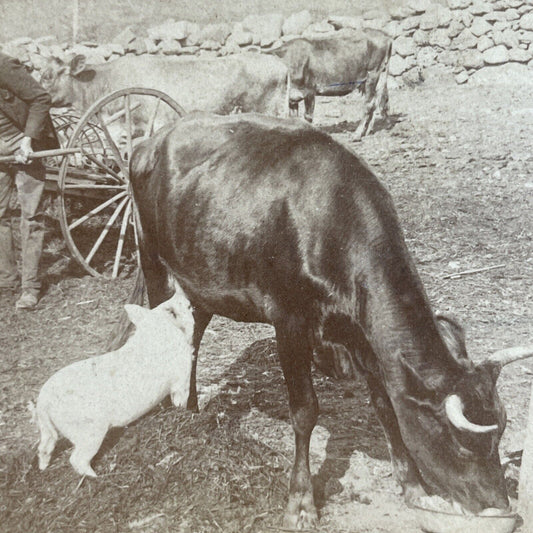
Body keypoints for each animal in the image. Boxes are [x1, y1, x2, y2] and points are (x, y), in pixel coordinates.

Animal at [32, 286, 193, 478]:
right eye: (183, 305)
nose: (181, 290)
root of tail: (43, 402)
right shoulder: (182, 375)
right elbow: (181, 397)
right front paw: (187, 412)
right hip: (90, 429)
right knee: (76, 459)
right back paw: (97, 477)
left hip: (49, 430)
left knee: (44, 447)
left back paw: (43, 468)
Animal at [118, 113, 528, 528]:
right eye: (460, 444)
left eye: (497, 439)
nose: (500, 503)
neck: (332, 220)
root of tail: (154, 138)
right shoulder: (290, 320)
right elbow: (305, 411)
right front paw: (301, 502)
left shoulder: (361, 329)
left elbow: (385, 404)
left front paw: (413, 486)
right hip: (151, 256)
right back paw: (172, 414)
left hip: (204, 276)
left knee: (194, 331)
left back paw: (192, 410)